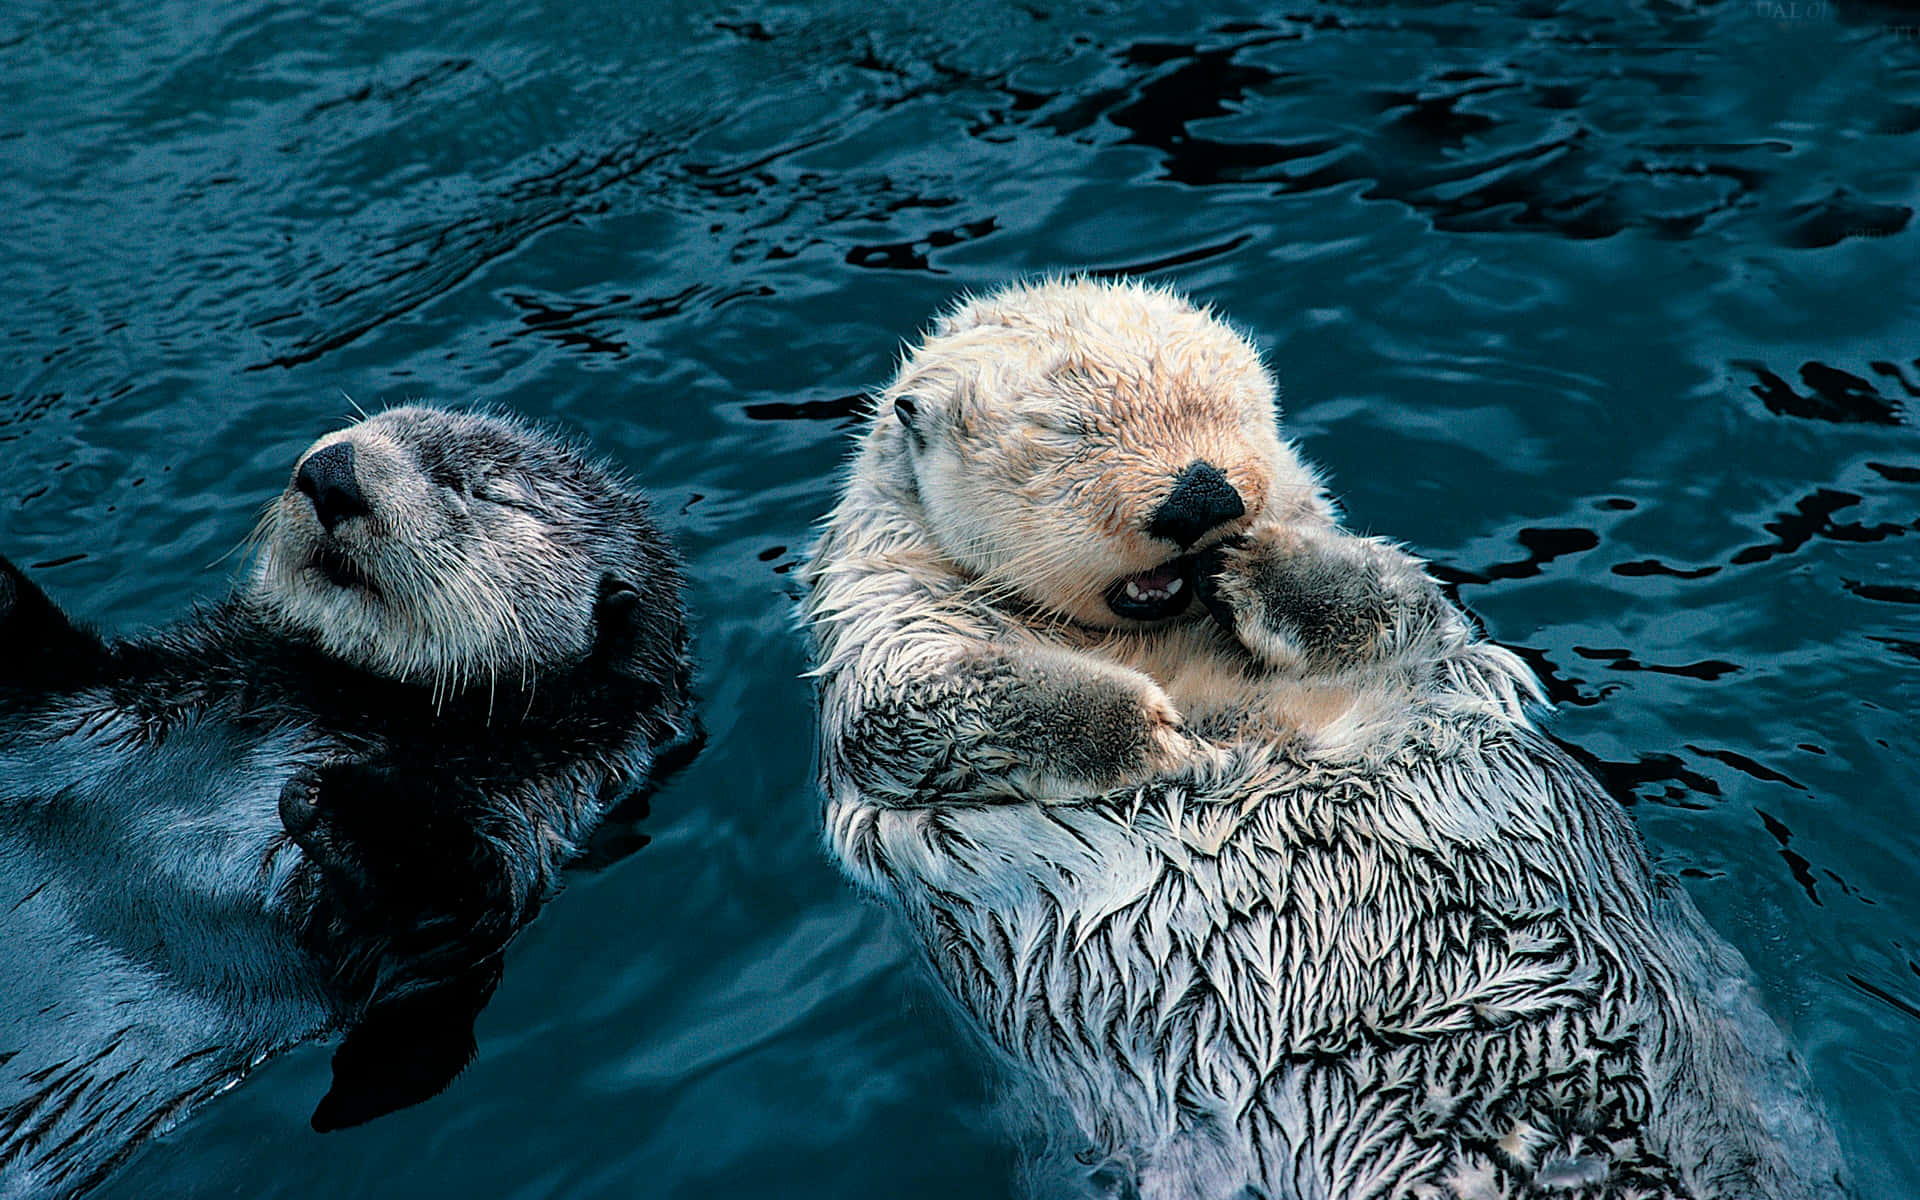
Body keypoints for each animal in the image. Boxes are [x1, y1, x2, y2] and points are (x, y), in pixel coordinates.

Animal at [0, 406, 695, 1199]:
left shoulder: (525, 822)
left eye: (481, 490)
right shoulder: (107, 689)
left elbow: (447, 909)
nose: (331, 470)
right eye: (373, 422)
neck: (347, 698)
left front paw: (335, 798)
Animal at [805, 279, 1850, 1200]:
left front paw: (1259, 566)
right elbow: (911, 712)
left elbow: (1396, 600)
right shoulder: (883, 627)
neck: (1161, 642)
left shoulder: (1417, 633)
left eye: (1229, 409)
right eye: (1068, 434)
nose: (1202, 497)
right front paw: (1157, 734)